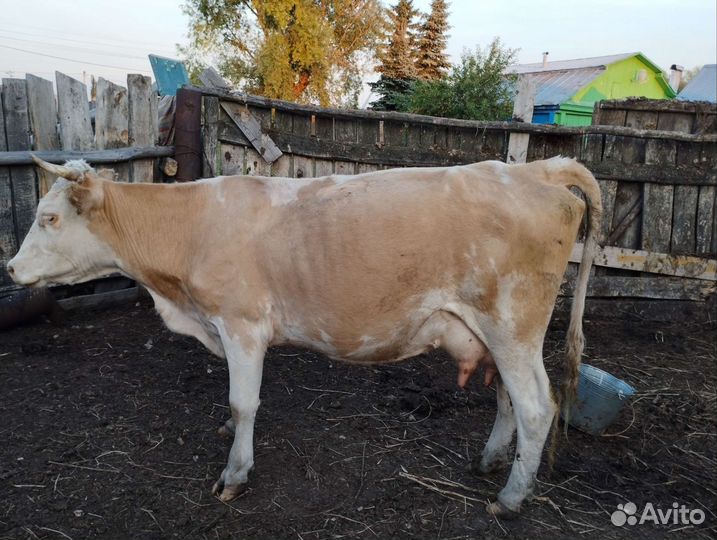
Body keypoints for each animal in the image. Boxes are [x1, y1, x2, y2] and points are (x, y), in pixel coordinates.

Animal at [7, 155, 601, 518]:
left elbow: (244, 401)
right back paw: (492, 461)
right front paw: (228, 435)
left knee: (536, 406)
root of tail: (535, 169)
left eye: (49, 217)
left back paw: (511, 497)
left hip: (513, 325)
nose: (10, 268)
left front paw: (235, 472)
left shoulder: (242, 324)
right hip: (495, 334)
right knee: (507, 398)